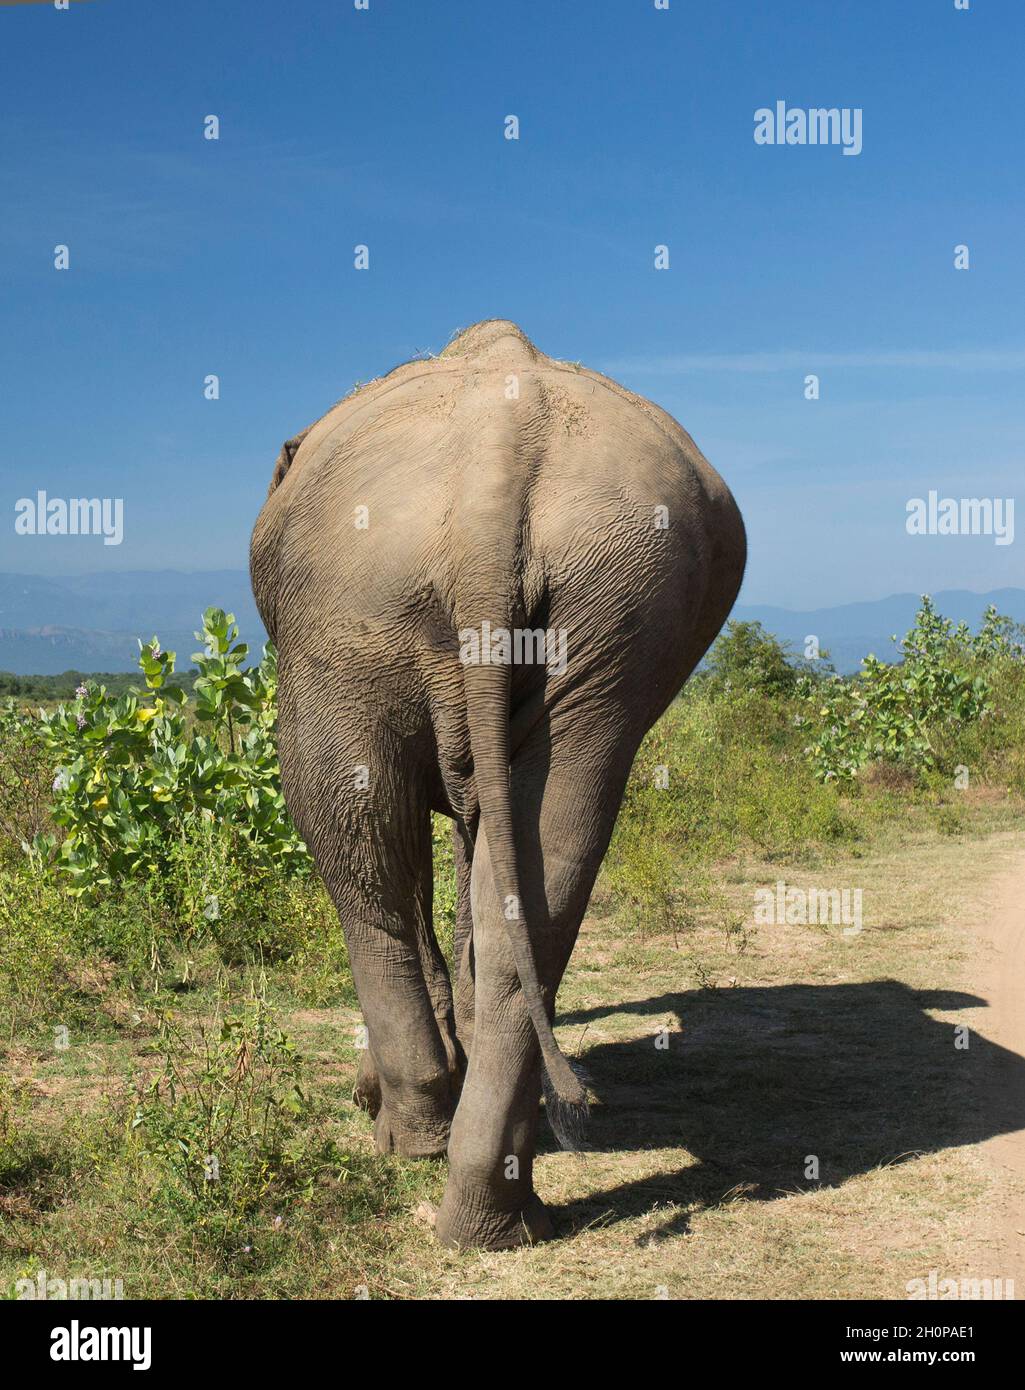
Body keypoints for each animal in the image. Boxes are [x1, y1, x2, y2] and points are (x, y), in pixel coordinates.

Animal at [250, 319, 746, 1250]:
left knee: (351, 841)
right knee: (551, 848)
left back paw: (411, 1139)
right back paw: (493, 1215)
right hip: (610, 616)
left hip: (347, 619)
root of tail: (498, 461)